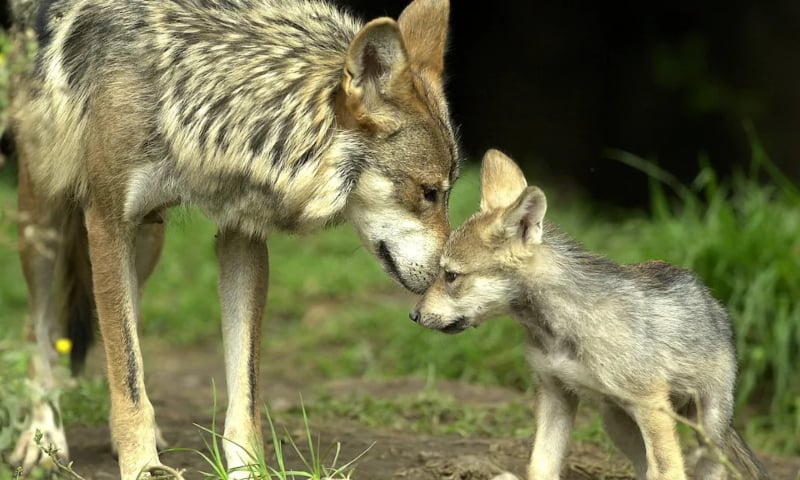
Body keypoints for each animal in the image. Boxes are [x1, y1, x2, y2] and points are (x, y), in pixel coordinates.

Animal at [6, 0, 458, 477]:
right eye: (429, 192)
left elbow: (244, 388)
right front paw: (141, 467)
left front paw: (249, 467)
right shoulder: (107, 222)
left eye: (446, 192)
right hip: (44, 217)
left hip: (148, 238)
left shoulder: (242, 234)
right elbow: (126, 372)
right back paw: (40, 438)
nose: (446, 277)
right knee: (41, 327)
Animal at [411, 149, 769, 480]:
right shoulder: (555, 395)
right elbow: (540, 465)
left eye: (451, 276)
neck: (559, 328)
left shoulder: (652, 406)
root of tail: (713, 303)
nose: (414, 315)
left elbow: (668, 471)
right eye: (442, 272)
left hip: (707, 428)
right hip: (617, 422)